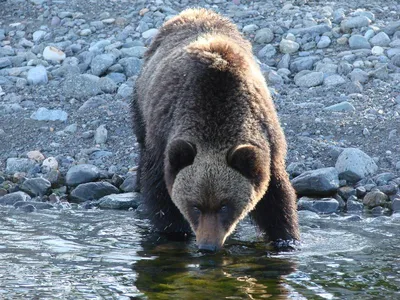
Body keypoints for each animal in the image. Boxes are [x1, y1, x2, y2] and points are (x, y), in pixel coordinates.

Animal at [133, 8, 298, 252]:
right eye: (195, 206)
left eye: (224, 206)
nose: (207, 246)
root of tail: (194, 11)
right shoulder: (163, 137)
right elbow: (161, 195)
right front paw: (173, 233)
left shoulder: (269, 143)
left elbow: (276, 198)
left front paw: (286, 239)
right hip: (142, 103)